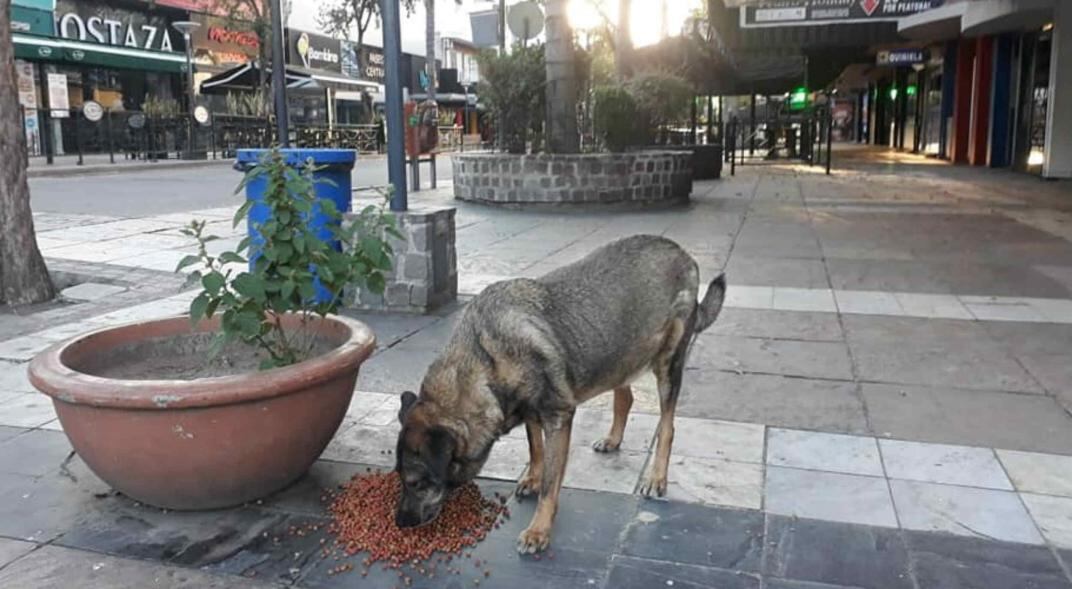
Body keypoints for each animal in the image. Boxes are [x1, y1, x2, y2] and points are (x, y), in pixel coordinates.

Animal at [394, 232, 728, 549]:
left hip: (667, 365)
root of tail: (682, 253)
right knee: (625, 397)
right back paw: (613, 439)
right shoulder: (530, 412)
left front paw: (539, 531)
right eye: (400, 478)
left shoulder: (558, 417)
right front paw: (532, 478)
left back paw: (657, 477)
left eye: (417, 483)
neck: (485, 360)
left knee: (667, 426)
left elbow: (550, 483)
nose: (399, 523)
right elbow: (535, 449)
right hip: (619, 354)